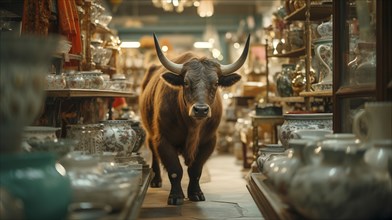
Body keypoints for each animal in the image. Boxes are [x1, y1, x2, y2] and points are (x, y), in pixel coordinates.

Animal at [139, 33, 250, 205]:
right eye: (185, 82)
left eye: (216, 83)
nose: (201, 110)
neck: (192, 126)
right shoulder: (163, 139)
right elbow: (175, 170)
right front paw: (176, 196)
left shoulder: (209, 141)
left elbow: (195, 170)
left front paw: (196, 193)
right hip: (150, 134)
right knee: (154, 155)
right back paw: (156, 180)